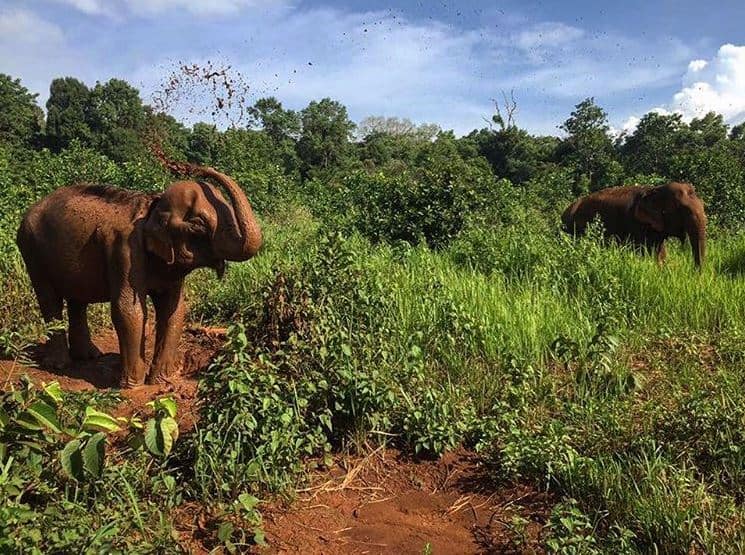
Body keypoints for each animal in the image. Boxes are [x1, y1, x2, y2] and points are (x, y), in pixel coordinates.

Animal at [16, 163, 262, 388]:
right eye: (198, 223)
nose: (197, 168)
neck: (152, 206)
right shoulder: (123, 249)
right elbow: (129, 310)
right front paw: (132, 386)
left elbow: (174, 309)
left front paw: (161, 381)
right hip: (32, 251)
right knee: (49, 301)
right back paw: (59, 364)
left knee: (78, 300)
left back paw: (89, 356)